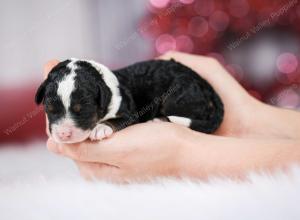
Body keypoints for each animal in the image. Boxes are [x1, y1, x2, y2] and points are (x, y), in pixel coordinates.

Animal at [35, 58, 223, 144]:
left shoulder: (130, 113)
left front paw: (101, 128)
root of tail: (203, 82)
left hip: (177, 97)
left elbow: (116, 120)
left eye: (83, 110)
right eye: (49, 109)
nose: (63, 135)